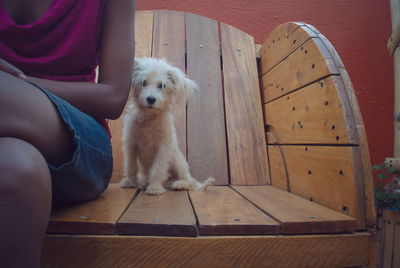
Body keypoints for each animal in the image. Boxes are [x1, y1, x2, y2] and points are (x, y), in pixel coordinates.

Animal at [120, 57, 214, 195]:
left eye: (162, 85)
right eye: (144, 82)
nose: (151, 99)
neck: (150, 118)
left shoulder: (163, 147)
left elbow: (158, 169)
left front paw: (154, 187)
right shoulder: (131, 144)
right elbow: (130, 166)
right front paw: (130, 182)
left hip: (177, 160)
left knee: (188, 181)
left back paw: (180, 184)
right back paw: (144, 183)